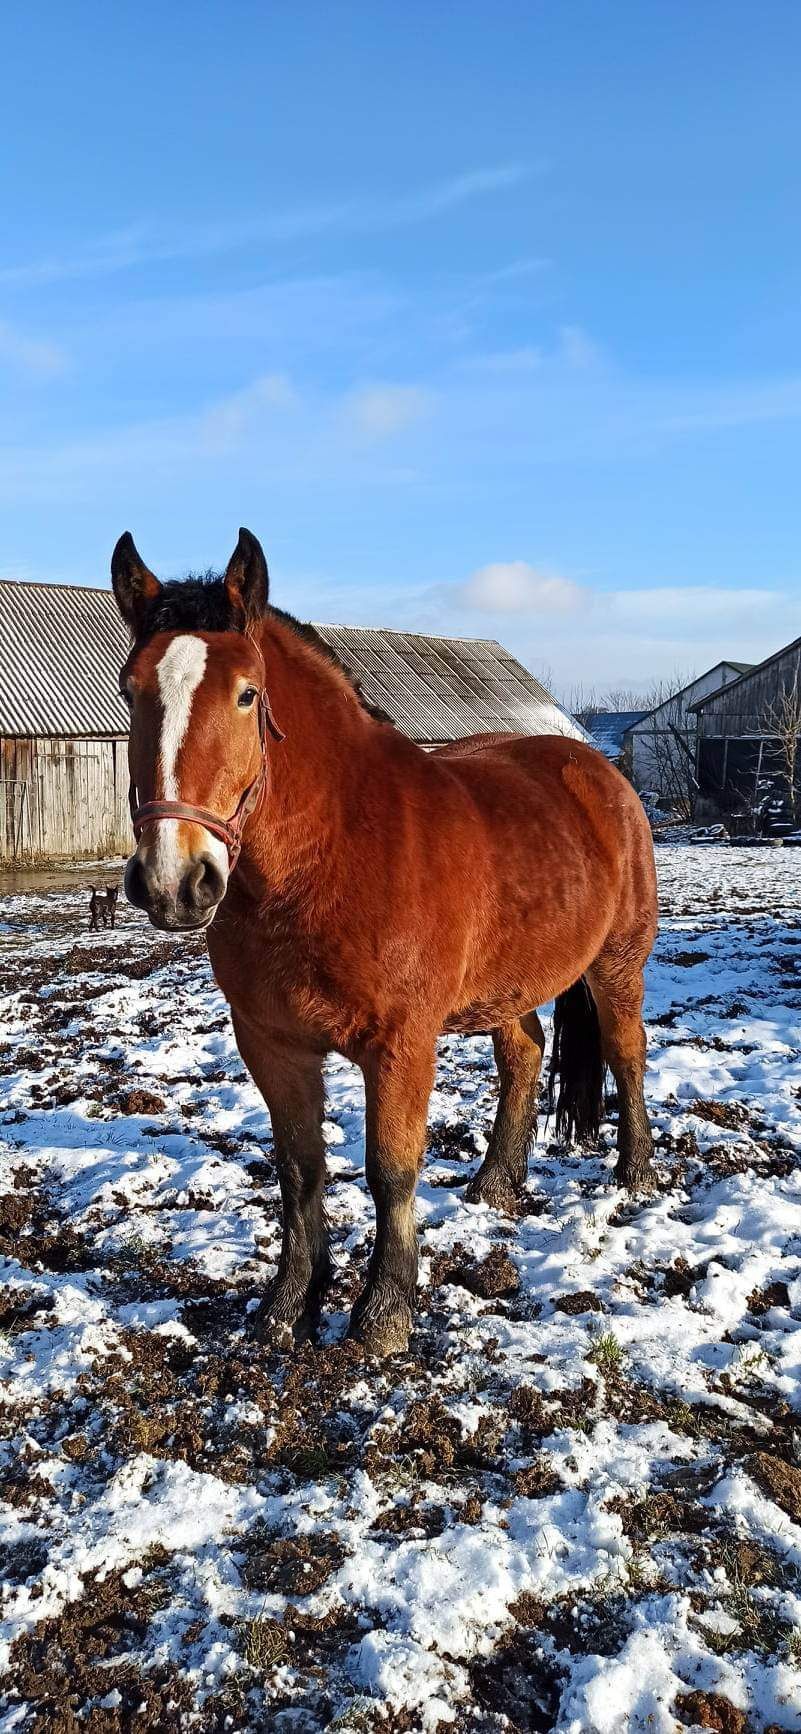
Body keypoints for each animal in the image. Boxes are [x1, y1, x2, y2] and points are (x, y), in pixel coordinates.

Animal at [114, 523, 662, 1352]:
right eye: (130, 690)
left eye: (246, 695)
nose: (174, 881)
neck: (330, 856)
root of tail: (596, 771)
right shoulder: (270, 1043)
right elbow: (301, 1169)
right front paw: (288, 1306)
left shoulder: (402, 1043)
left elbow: (390, 1170)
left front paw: (383, 1314)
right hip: (506, 986)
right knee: (524, 1055)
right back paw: (494, 1186)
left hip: (615, 964)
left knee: (626, 1053)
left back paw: (635, 1178)